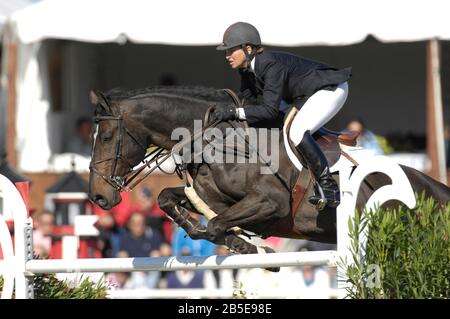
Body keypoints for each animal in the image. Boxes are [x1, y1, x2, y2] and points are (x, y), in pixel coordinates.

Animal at [88, 85, 450, 260]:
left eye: (105, 137)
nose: (98, 197)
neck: (219, 141)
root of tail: (435, 188)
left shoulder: (270, 203)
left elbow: (215, 226)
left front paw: (249, 248)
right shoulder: (213, 199)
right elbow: (169, 200)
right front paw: (240, 243)